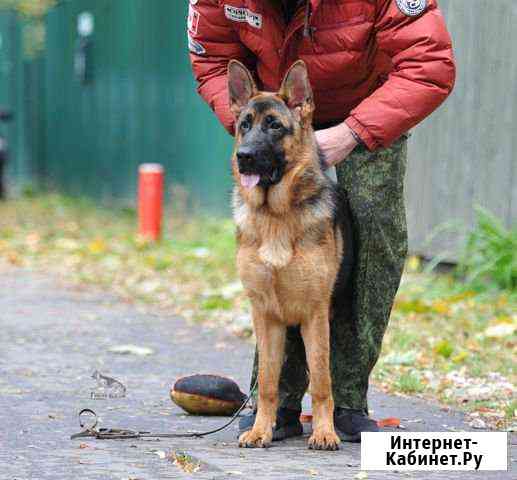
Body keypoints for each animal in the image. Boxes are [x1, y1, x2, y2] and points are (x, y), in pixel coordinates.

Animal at [229, 60, 352, 450]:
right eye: (244, 125)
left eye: (274, 126)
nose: (243, 157)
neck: (276, 216)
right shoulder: (266, 317)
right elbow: (269, 382)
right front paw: (261, 430)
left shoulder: (315, 315)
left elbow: (323, 383)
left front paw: (325, 432)